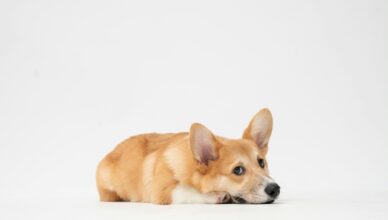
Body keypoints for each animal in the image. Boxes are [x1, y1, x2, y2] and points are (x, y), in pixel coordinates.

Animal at [96, 108, 278, 205]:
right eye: (238, 170)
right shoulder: (163, 192)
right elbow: (187, 191)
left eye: (261, 162)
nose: (275, 189)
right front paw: (216, 195)